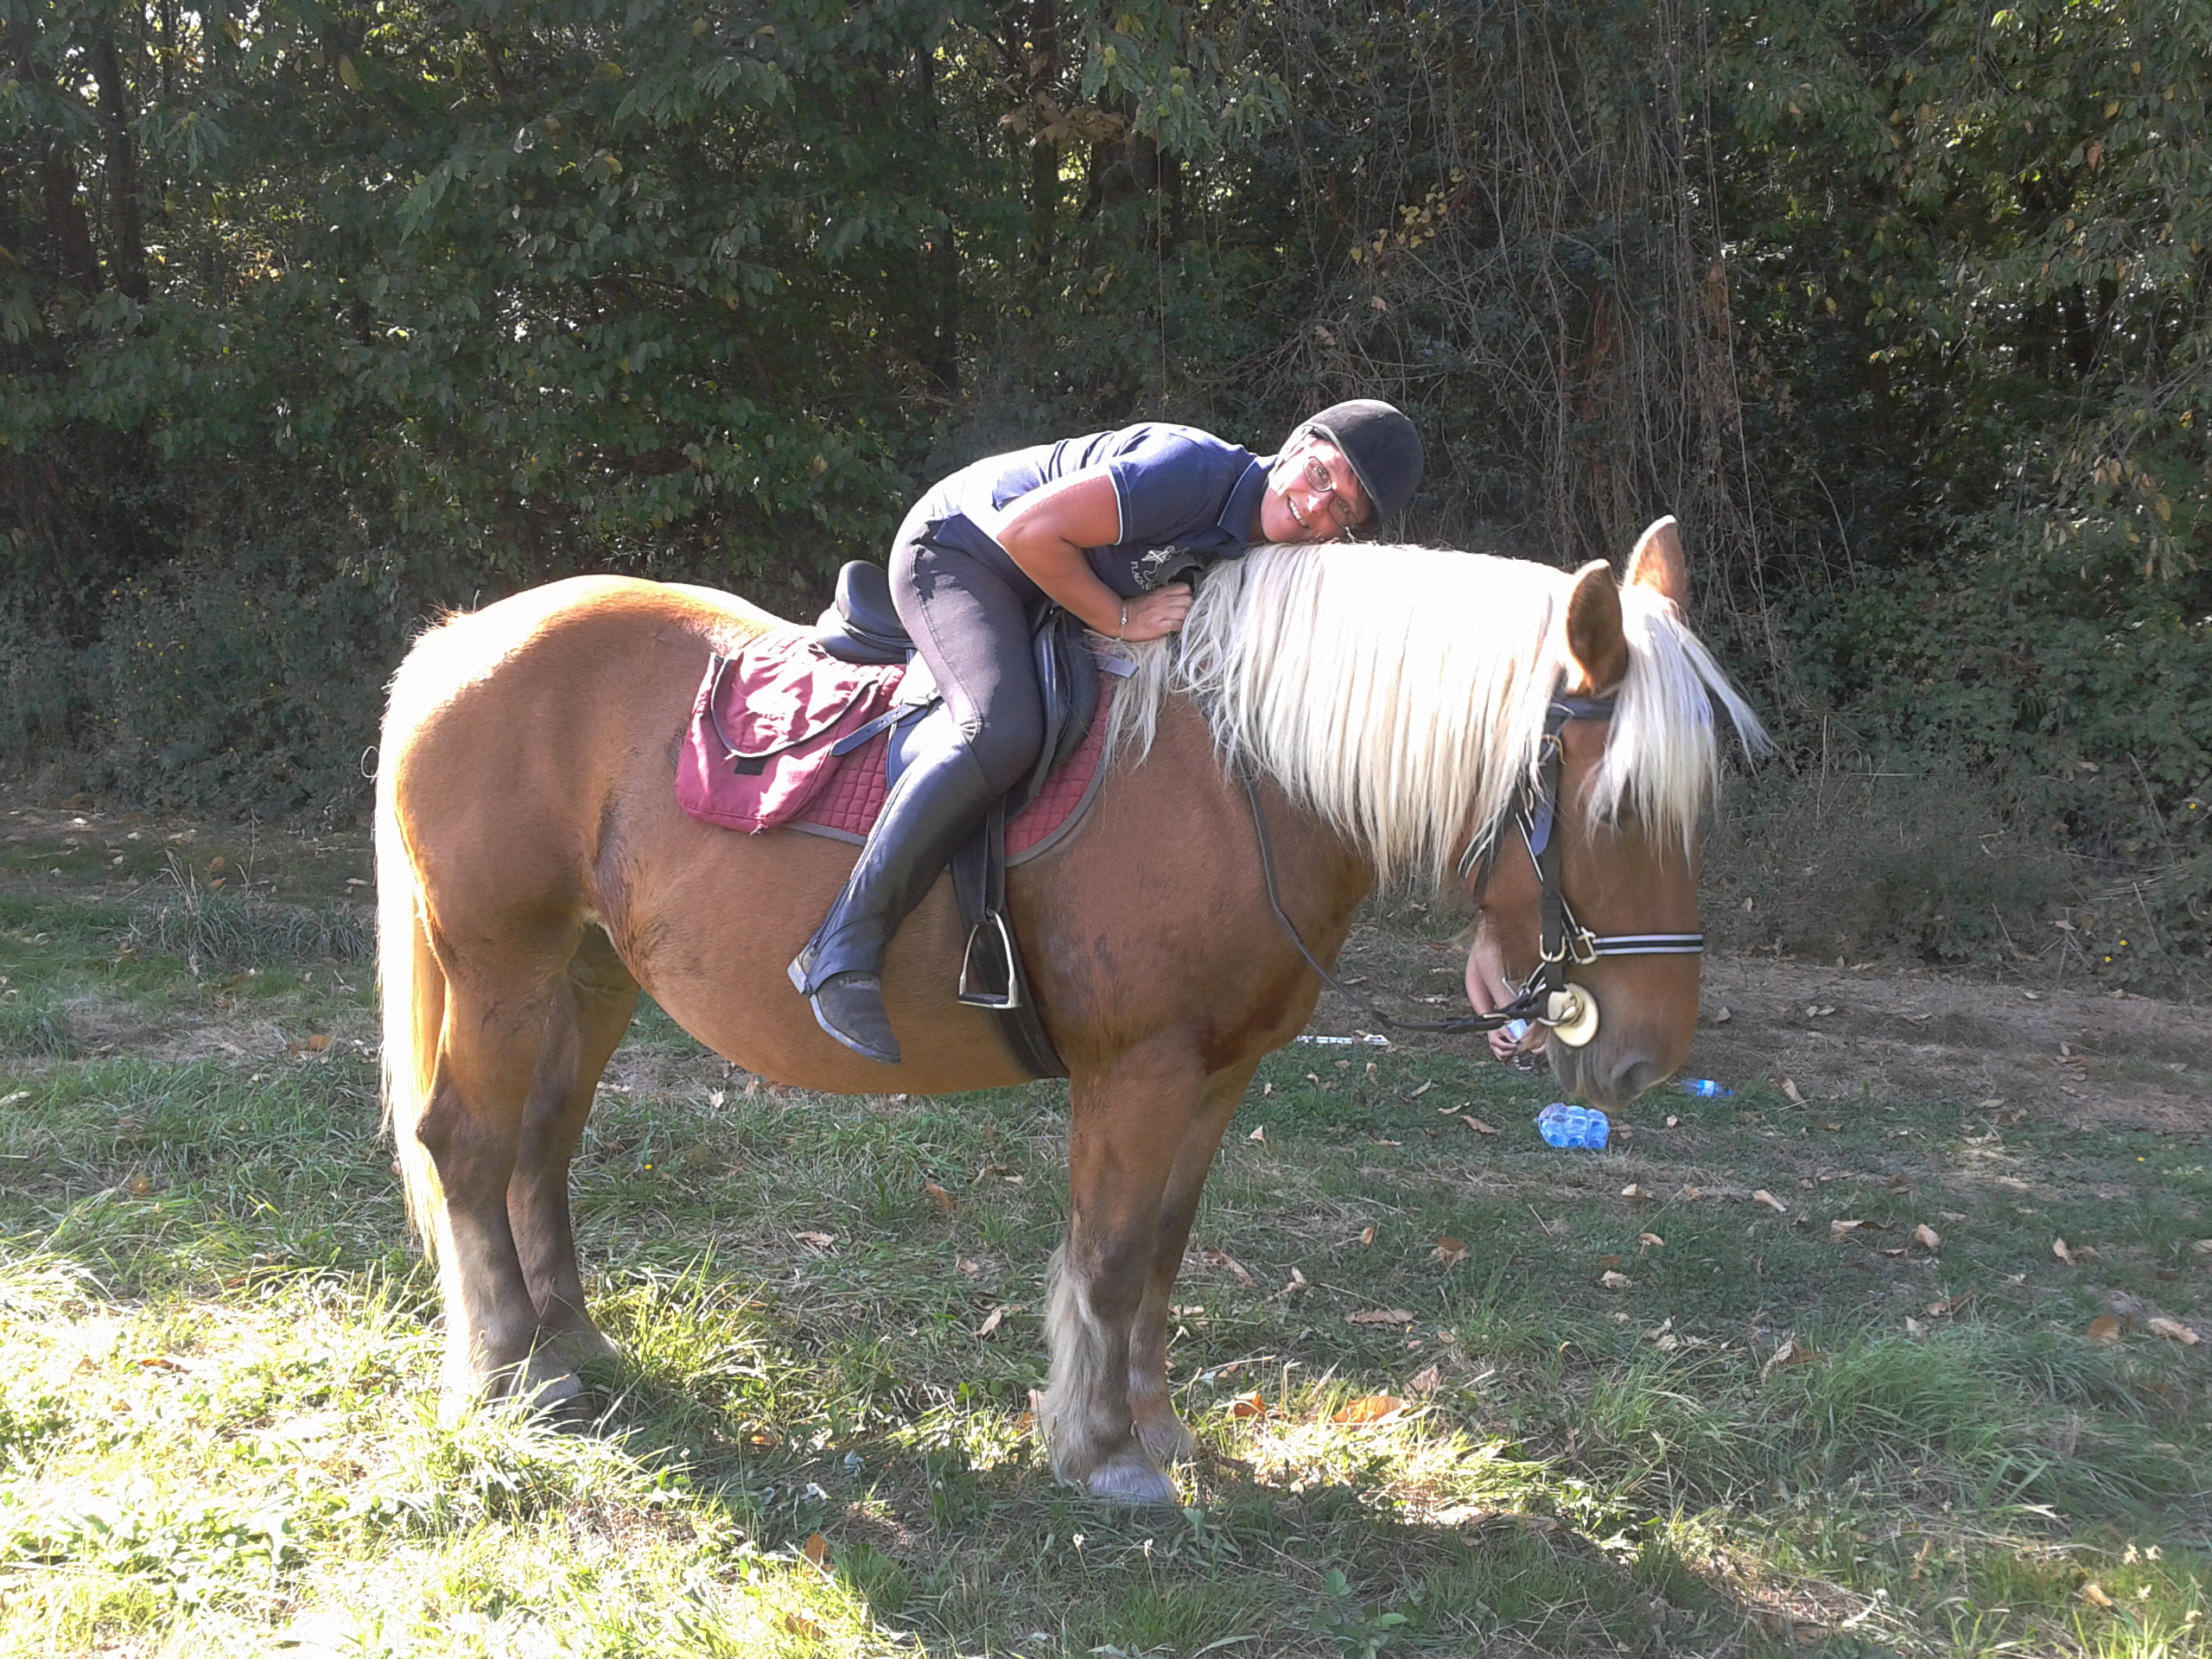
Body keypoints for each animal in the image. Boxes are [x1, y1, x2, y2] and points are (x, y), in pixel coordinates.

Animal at [376, 518, 1761, 1506]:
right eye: (1615, 808)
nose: (1645, 1055)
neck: (1241, 779)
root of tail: (460, 638)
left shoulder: (1217, 1075)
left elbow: (1160, 1253)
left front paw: (1157, 1430)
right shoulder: (1135, 1071)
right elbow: (1104, 1254)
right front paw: (1100, 1453)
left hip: (589, 972)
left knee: (541, 1149)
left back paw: (571, 1352)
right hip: (502, 961)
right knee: (469, 1146)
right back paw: (511, 1371)